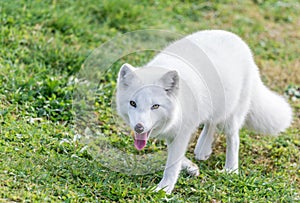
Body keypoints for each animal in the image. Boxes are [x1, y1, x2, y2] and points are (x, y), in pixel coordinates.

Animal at [115, 29, 292, 193]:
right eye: (133, 103)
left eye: (155, 106)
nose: (139, 127)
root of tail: (238, 40)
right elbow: (175, 155)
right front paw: (189, 167)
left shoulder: (182, 131)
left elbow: (172, 164)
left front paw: (164, 189)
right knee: (211, 123)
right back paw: (203, 150)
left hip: (231, 116)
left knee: (233, 138)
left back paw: (231, 169)